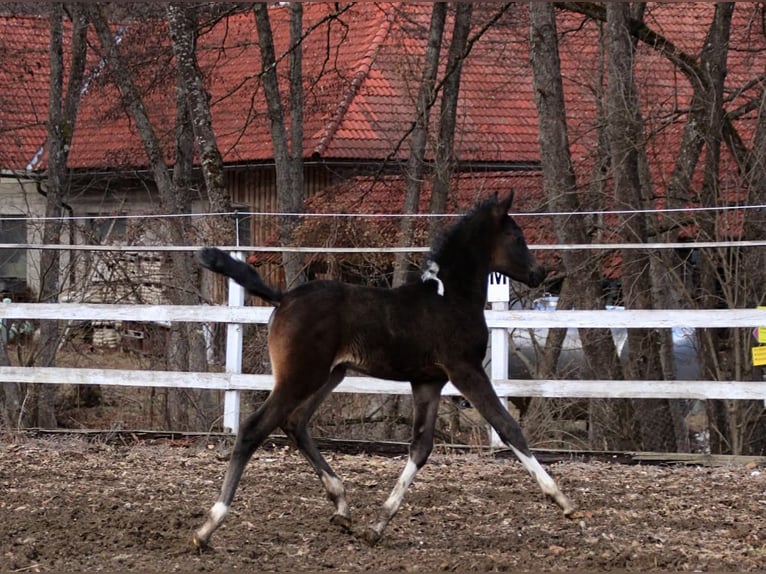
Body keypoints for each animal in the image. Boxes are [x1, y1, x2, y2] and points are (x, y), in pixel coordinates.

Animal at [193, 192, 574, 549]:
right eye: (517, 236)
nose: (540, 273)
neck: (450, 299)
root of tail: (284, 298)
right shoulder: (465, 370)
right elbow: (507, 426)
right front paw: (561, 499)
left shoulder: (428, 381)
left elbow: (420, 448)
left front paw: (377, 526)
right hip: (302, 376)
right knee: (254, 428)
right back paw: (209, 526)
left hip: (330, 375)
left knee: (295, 422)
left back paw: (341, 505)